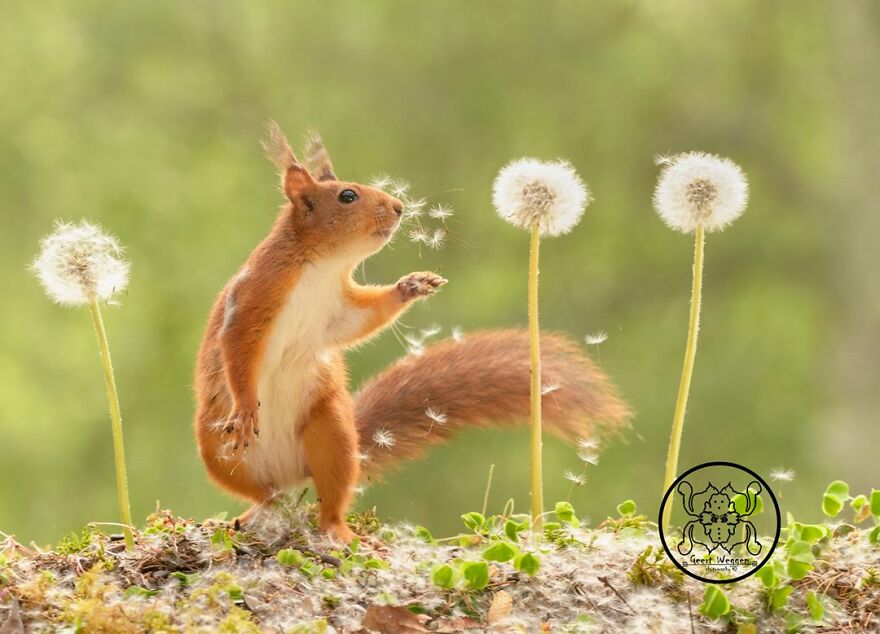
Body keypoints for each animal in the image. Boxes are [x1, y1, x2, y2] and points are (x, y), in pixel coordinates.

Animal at [193, 122, 631, 543]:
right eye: (347, 196)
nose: (399, 207)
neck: (321, 266)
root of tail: (291, 475)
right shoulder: (252, 299)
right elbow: (237, 349)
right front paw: (246, 408)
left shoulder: (336, 309)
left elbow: (358, 321)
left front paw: (412, 285)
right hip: (219, 453)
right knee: (263, 493)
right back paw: (251, 514)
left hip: (331, 431)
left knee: (326, 495)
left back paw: (336, 529)